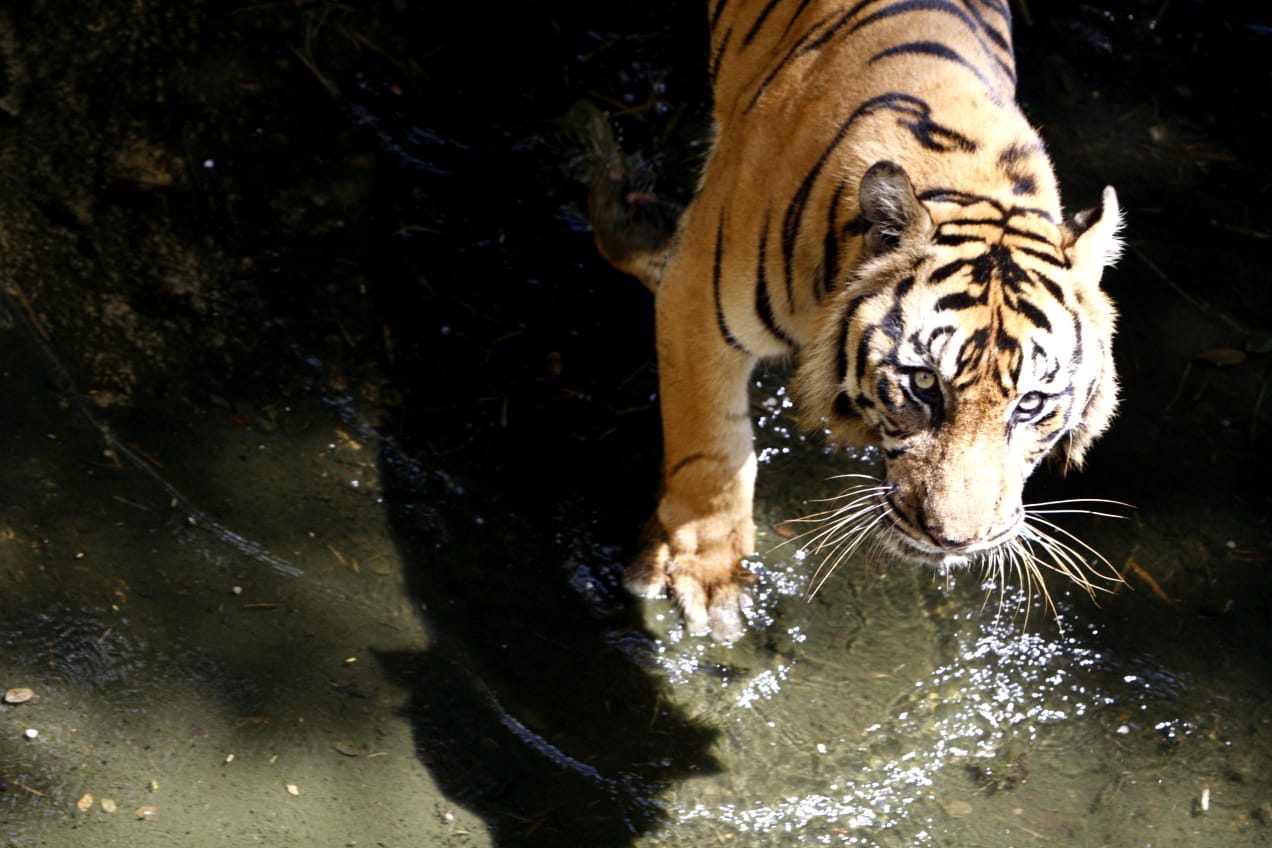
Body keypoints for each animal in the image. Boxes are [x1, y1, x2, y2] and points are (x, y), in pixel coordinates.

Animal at [587, 0, 1124, 640]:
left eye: (1032, 404)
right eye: (924, 383)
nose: (954, 540)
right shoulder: (697, 299)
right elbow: (711, 449)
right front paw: (706, 574)